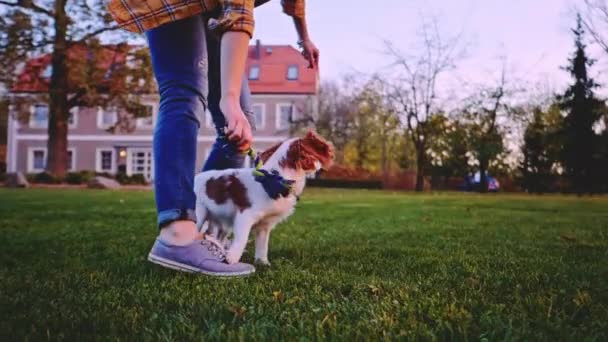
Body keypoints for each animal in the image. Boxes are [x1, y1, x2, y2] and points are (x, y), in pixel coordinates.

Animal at [194, 131, 332, 264]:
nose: (318, 167)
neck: (275, 180)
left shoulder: (264, 225)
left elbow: (263, 244)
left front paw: (262, 262)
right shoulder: (245, 217)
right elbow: (242, 239)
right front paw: (231, 260)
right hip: (200, 215)